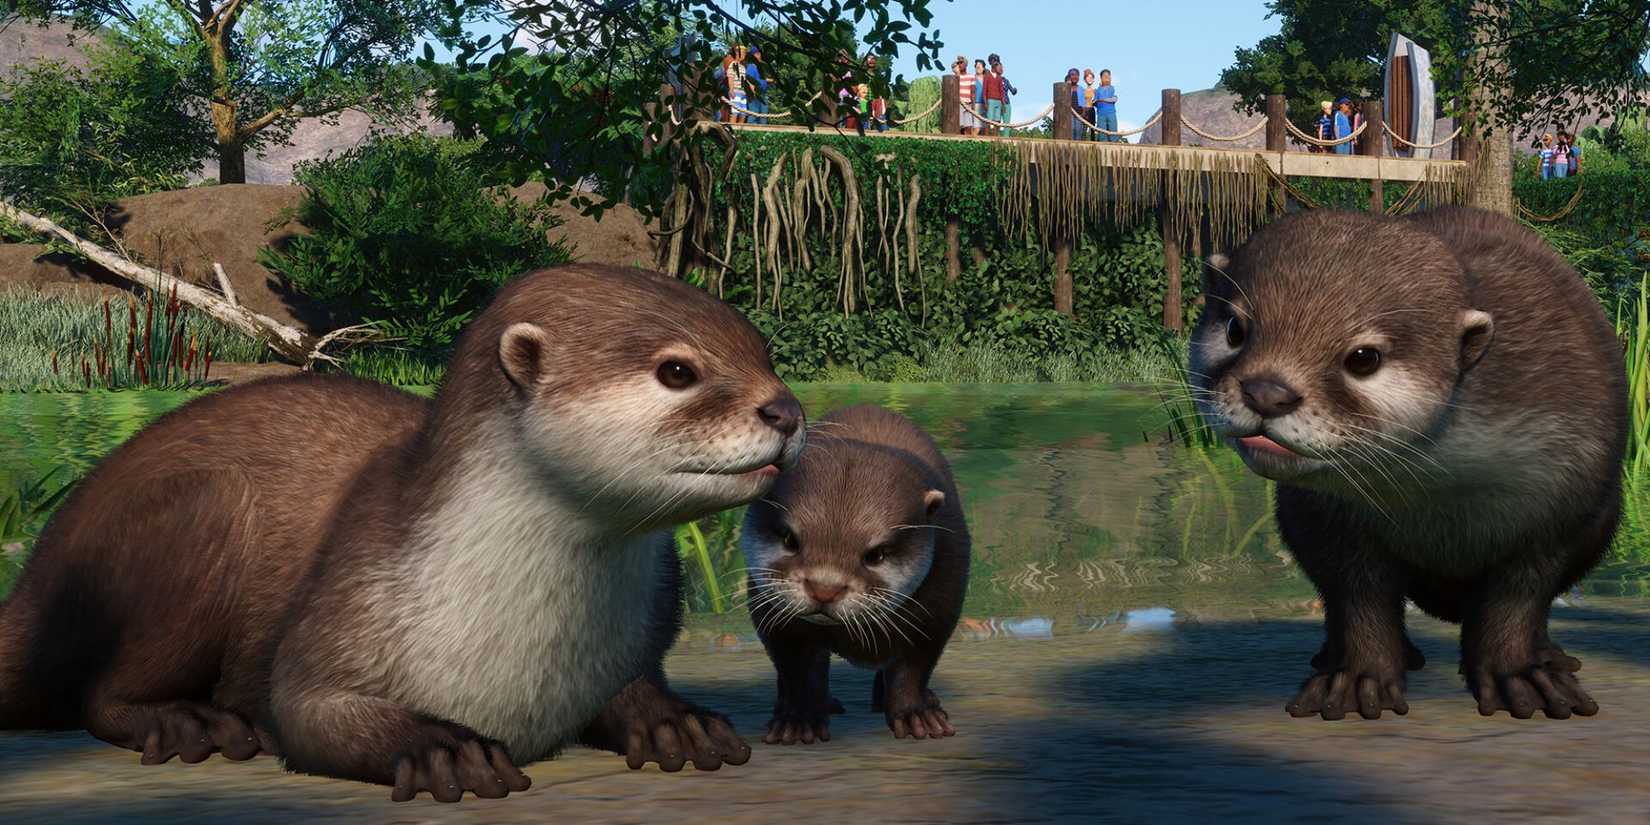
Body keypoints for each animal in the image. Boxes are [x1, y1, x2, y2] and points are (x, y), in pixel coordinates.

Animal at [0, 264, 807, 801]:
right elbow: (304, 709)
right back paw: (190, 723)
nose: (787, 410)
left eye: (763, 352)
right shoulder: (349, 600)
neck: (534, 644)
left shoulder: (633, 638)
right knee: (100, 692)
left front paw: (677, 722)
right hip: (197, 523)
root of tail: (43, 564)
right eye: (678, 371)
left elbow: (634, 687)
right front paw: (443, 746)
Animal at [739, 404, 970, 743]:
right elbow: (796, 670)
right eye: (790, 539)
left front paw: (917, 715)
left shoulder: (940, 606)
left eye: (876, 554)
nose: (824, 589)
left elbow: (915, 665)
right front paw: (798, 720)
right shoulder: (776, 619)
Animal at [1189, 206, 1626, 721]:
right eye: (1235, 330)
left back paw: (1550, 655)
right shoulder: (1319, 518)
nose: (1267, 392)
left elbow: (1521, 594)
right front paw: (1358, 678)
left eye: (1364, 357)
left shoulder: (1568, 492)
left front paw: (1519, 674)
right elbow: (1357, 595)